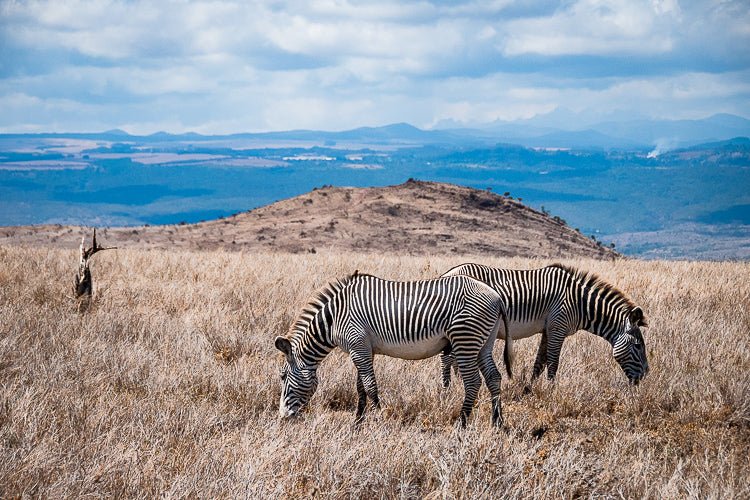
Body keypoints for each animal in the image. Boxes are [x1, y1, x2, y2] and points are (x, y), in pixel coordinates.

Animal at [276, 272, 516, 428]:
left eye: (283, 376)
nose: (284, 417)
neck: (334, 318)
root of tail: (497, 297)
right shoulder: (363, 348)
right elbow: (360, 387)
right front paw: (358, 423)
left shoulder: (357, 345)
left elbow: (370, 386)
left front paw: (379, 419)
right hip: (484, 342)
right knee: (493, 377)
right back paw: (497, 422)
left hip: (464, 339)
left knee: (473, 382)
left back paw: (462, 423)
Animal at [440, 264, 652, 384]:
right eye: (638, 346)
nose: (645, 377)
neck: (580, 303)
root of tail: (447, 273)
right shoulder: (558, 327)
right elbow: (553, 362)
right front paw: (551, 388)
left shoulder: (548, 329)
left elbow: (539, 362)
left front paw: (531, 387)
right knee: (447, 358)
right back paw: (449, 388)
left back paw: (457, 383)